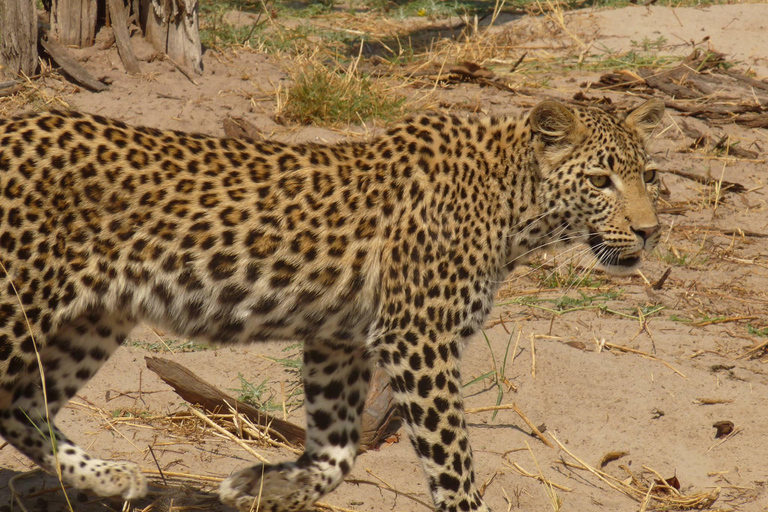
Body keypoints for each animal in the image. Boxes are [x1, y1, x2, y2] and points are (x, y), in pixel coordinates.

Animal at [0, 97, 664, 512]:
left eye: (650, 175)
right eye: (600, 180)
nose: (651, 231)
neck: (512, 207)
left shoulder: (339, 340)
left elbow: (339, 451)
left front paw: (256, 487)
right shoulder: (417, 338)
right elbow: (451, 461)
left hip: (91, 319)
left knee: (19, 406)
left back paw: (112, 478)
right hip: (17, 308)